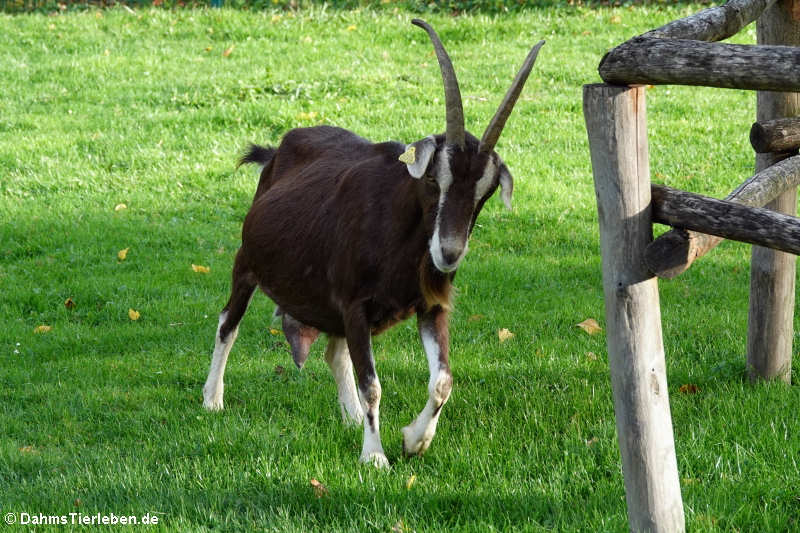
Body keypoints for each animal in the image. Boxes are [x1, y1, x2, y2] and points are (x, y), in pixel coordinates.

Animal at [203, 18, 548, 466]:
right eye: (434, 179)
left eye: (485, 192)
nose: (448, 254)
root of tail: (277, 150)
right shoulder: (355, 306)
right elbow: (373, 386)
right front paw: (375, 457)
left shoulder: (430, 306)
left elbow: (442, 381)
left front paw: (413, 440)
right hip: (247, 263)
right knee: (228, 322)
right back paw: (212, 399)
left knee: (334, 353)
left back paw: (350, 418)